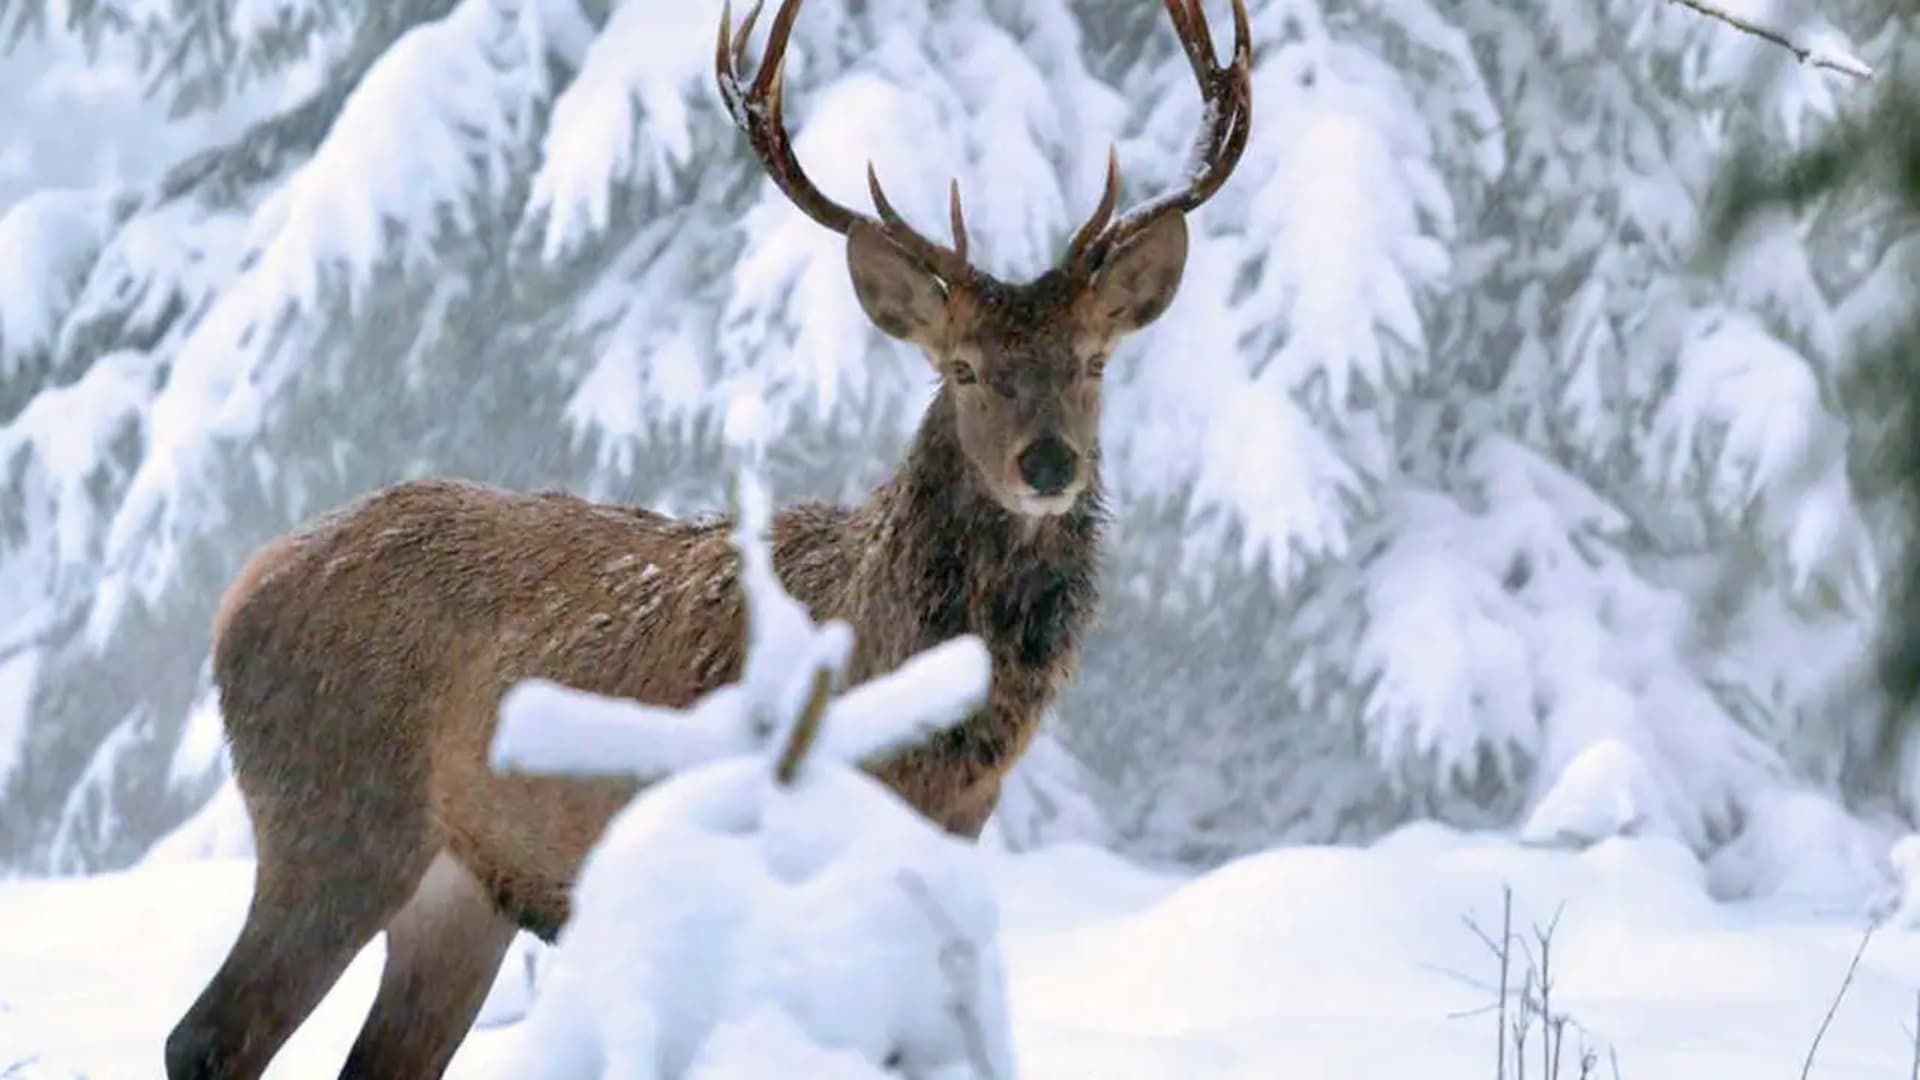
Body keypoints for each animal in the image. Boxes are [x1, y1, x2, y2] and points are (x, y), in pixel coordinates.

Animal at [161, 2, 1244, 1076]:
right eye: (964, 368)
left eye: (1095, 361)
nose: (1048, 464)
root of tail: (240, 593)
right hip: (333, 815)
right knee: (208, 1035)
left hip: (458, 892)